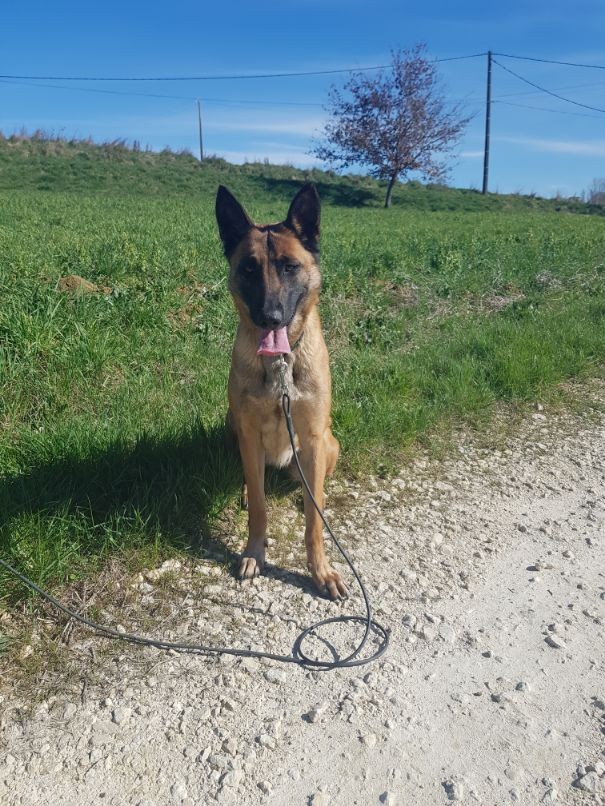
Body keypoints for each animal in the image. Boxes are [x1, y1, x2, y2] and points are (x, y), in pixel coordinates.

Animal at [215, 183, 347, 600]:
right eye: (249, 268)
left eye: (290, 266)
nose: (270, 317)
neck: (280, 365)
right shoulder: (248, 431)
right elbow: (260, 507)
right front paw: (254, 553)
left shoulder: (313, 436)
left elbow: (314, 521)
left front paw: (320, 570)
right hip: (234, 429)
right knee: (252, 478)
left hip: (328, 444)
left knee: (312, 485)